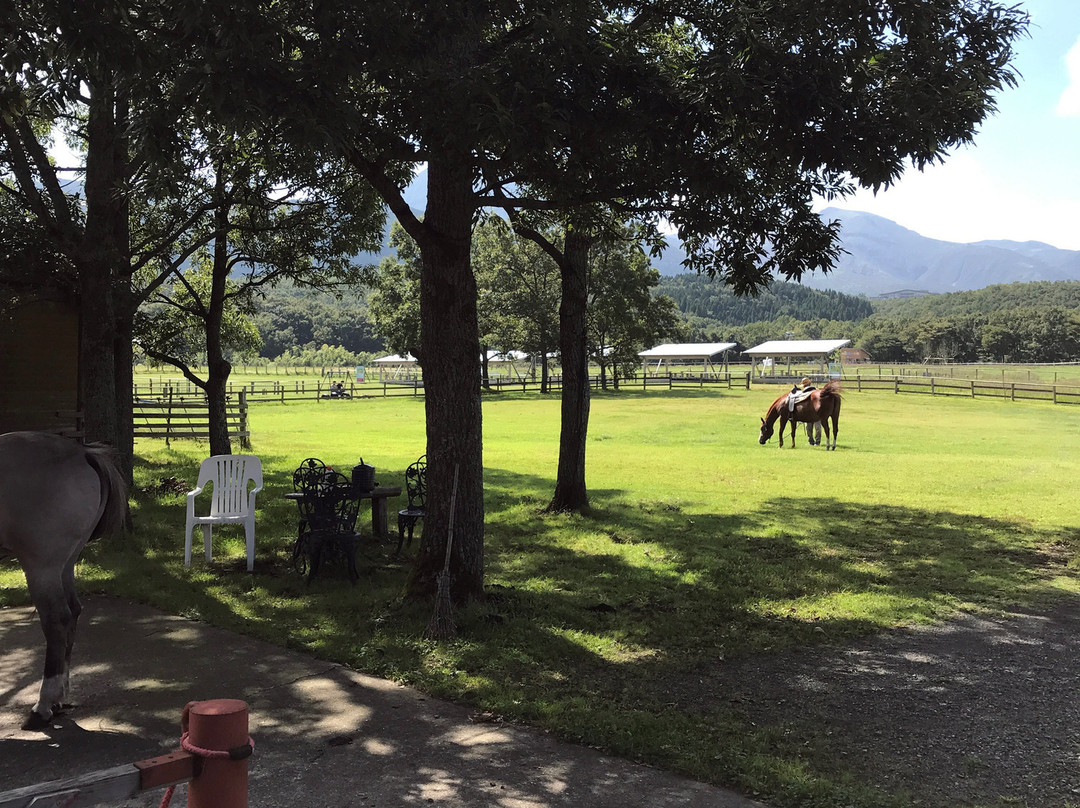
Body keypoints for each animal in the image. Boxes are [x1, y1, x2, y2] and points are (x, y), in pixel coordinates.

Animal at [0, 431, 127, 729]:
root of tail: (81, 452)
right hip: (65, 564)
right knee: (73, 612)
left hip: (42, 567)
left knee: (56, 619)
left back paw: (43, 705)